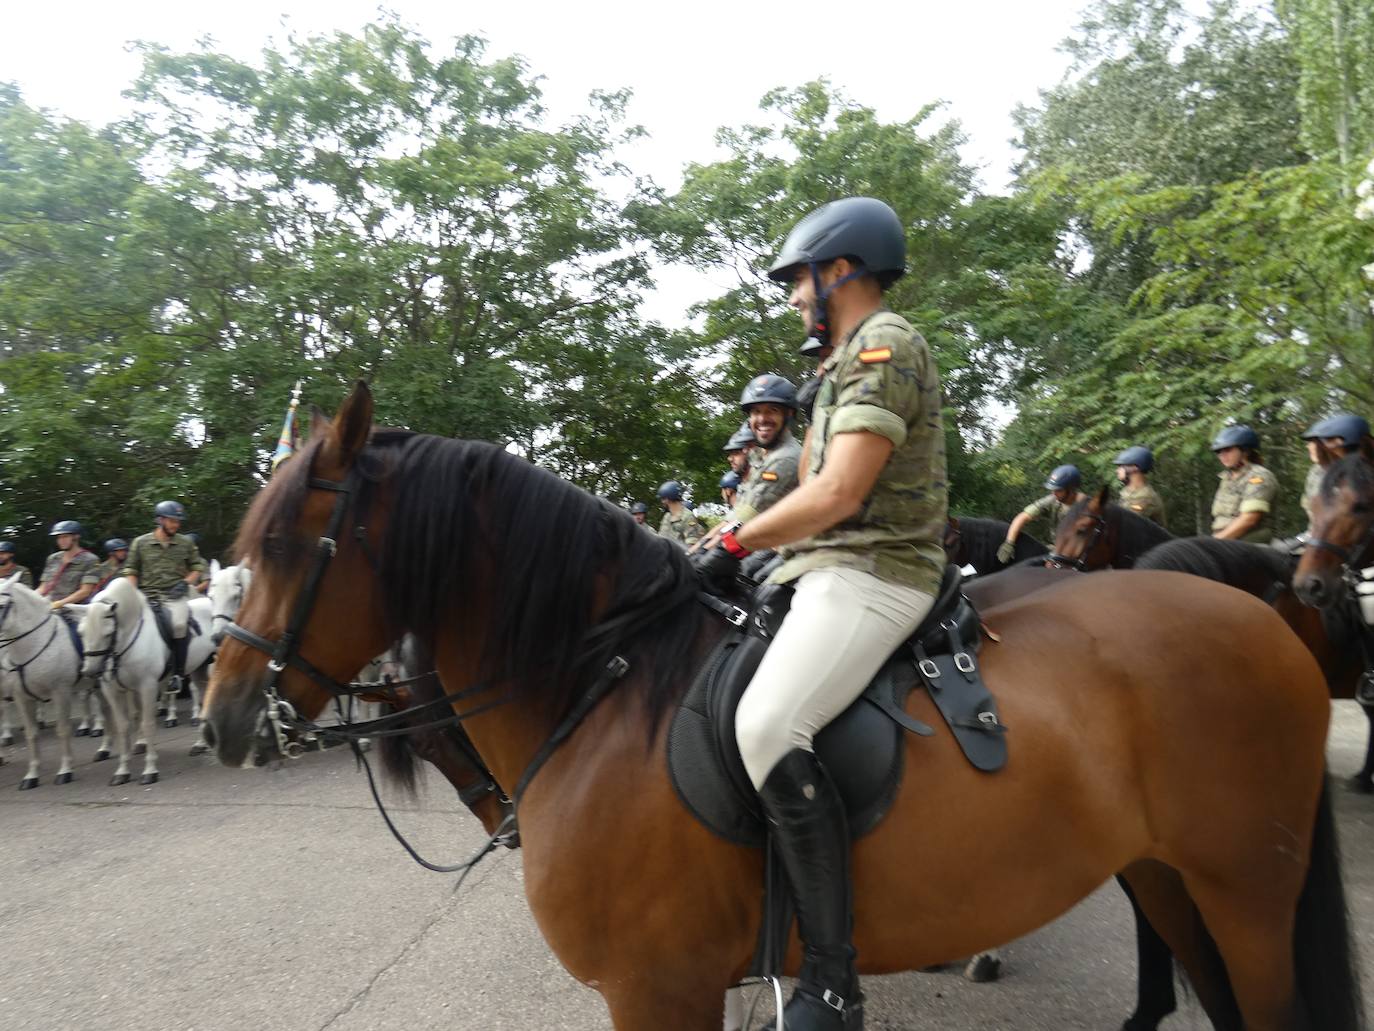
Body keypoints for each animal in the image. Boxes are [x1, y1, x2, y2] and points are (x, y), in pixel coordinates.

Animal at [0, 582, 98, 791]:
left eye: (2, 605)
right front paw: (31, 775)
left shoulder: (60, 692)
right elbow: (31, 734)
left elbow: (62, 730)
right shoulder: (22, 697)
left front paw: (65, 771)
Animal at [79, 582, 214, 780]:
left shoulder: (147, 687)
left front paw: (150, 770)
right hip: (199, 671)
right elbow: (123, 726)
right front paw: (122, 771)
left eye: (108, 633)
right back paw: (200, 744)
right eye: (81, 632)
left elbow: (147, 724)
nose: (91, 671)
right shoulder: (113, 691)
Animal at [200, 384, 1363, 1031]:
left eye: (288, 543)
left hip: (1246, 886)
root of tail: (1258, 613)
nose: (222, 715)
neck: (607, 689)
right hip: (1167, 872)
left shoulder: (655, 988)